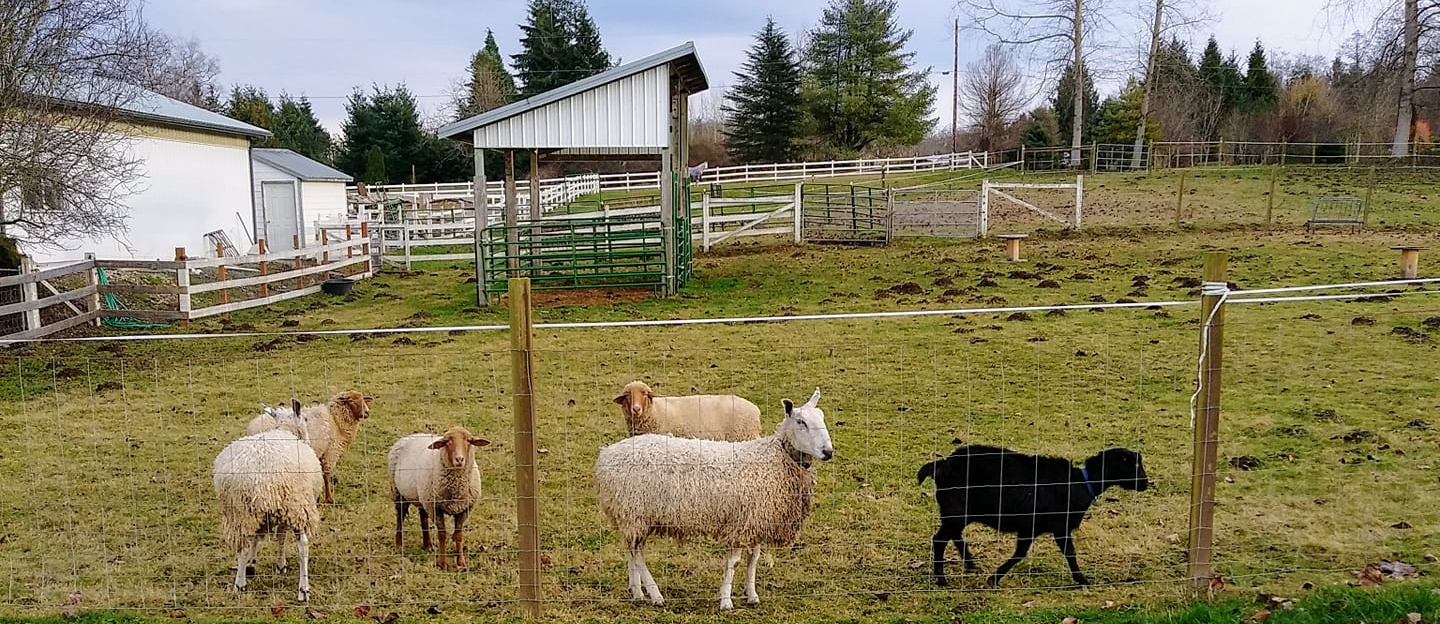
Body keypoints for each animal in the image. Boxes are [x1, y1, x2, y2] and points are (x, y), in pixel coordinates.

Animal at [211, 397, 322, 599]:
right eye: (306, 419)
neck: (285, 430)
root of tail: (262, 475)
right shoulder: (286, 510)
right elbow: (281, 537)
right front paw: (281, 564)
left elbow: (255, 540)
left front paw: (251, 565)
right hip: (297, 505)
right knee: (303, 546)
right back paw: (303, 588)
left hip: (241, 511)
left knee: (243, 546)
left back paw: (240, 584)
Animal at [385, 426, 492, 567]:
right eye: (447, 442)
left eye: (468, 441)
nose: (459, 459)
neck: (456, 487)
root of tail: (409, 436)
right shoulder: (435, 508)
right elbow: (442, 534)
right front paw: (442, 563)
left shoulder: (464, 508)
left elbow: (459, 535)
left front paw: (461, 563)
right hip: (398, 491)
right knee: (400, 517)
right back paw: (399, 545)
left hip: (423, 496)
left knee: (423, 517)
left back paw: (428, 545)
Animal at [593, 386, 835, 605]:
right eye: (801, 422)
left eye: (822, 417)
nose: (828, 452)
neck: (775, 459)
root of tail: (606, 455)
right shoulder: (741, 522)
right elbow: (734, 562)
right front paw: (726, 600)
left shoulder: (756, 520)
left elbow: (753, 559)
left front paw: (752, 595)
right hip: (634, 512)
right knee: (638, 555)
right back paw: (655, 595)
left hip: (630, 516)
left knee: (631, 552)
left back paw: (637, 592)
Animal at [610, 377, 766, 440]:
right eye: (627, 395)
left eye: (644, 394)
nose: (636, 409)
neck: (655, 411)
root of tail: (755, 409)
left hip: (743, 435)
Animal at [921, 443, 1146, 585]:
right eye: (1133, 465)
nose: (1145, 483)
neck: (1083, 482)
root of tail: (942, 465)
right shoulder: (1052, 526)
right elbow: (1063, 553)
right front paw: (1083, 580)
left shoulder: (1040, 528)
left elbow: (1028, 552)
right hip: (957, 510)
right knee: (940, 539)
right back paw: (942, 579)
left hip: (960, 512)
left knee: (953, 535)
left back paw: (970, 565)